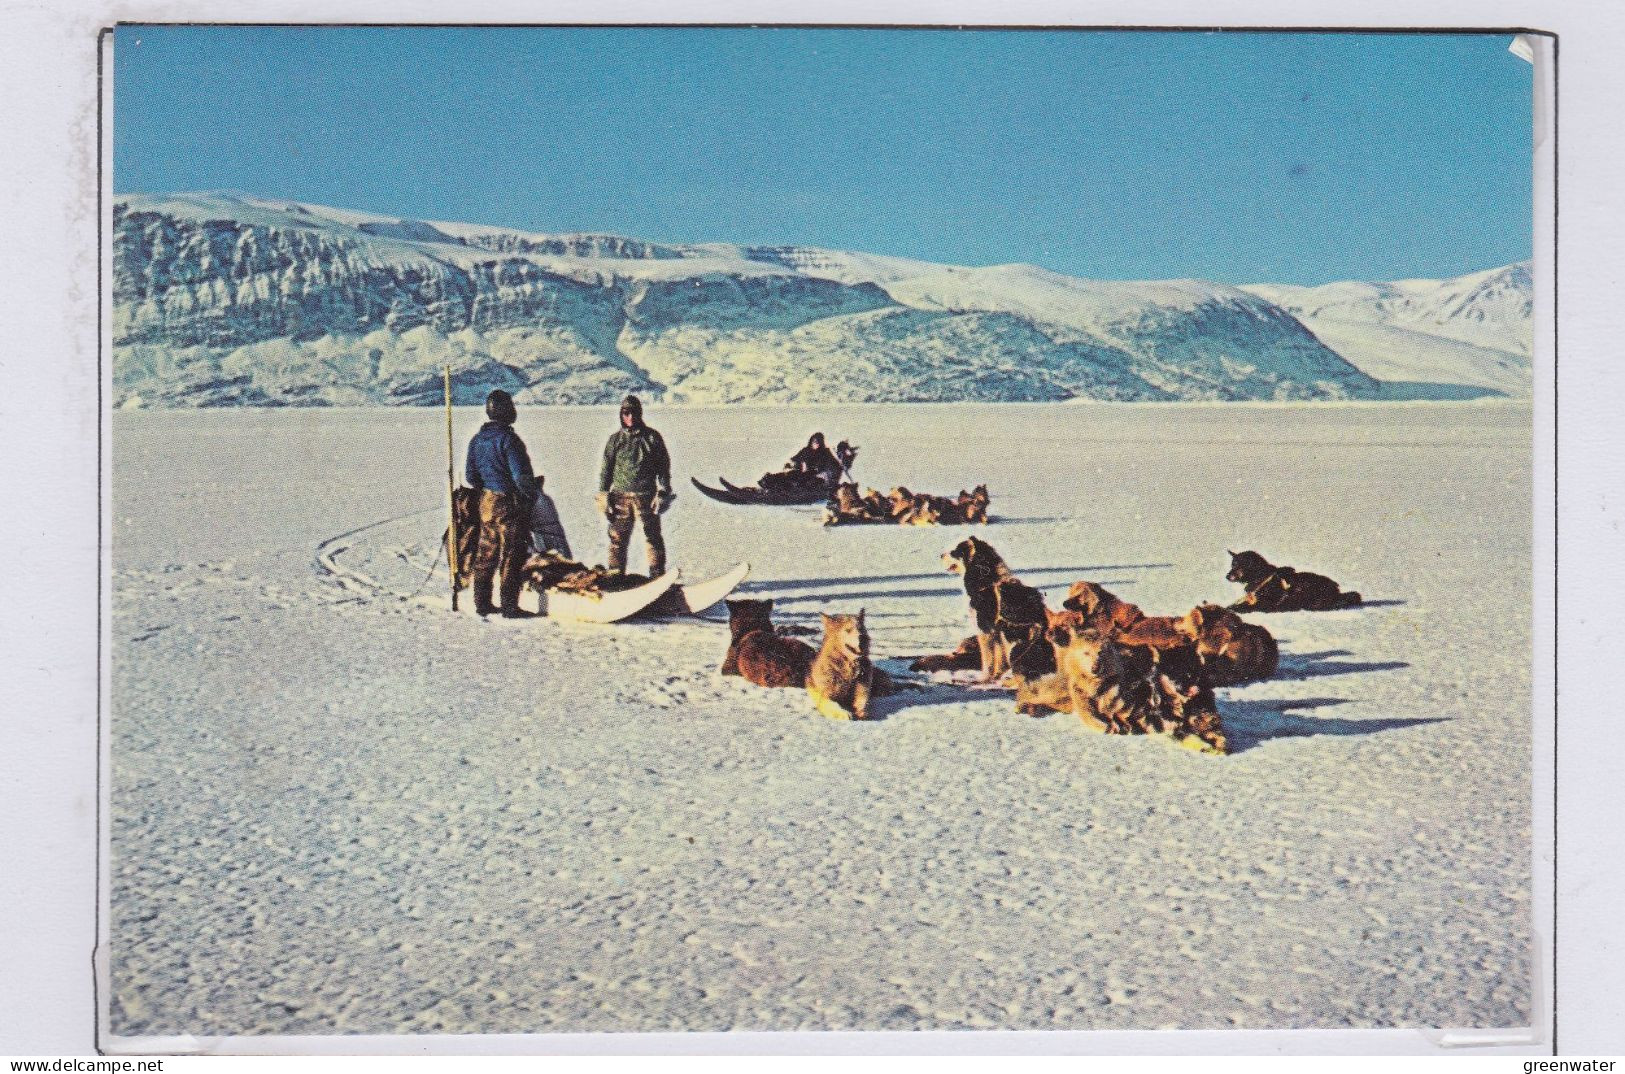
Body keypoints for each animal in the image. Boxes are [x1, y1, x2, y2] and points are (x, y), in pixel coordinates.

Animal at [1228, 552, 1358, 610]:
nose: (1227, 576)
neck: (1261, 576)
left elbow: (1243, 607)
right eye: (1232, 565)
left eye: (1238, 566)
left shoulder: (1264, 604)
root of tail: (1337, 590)